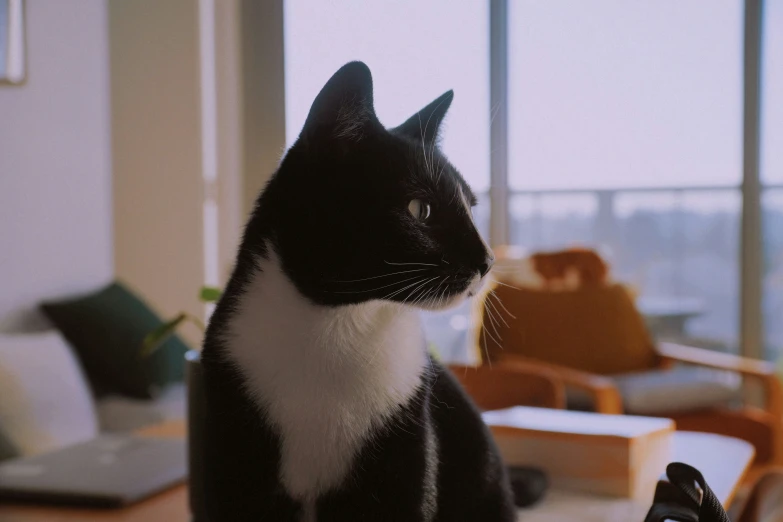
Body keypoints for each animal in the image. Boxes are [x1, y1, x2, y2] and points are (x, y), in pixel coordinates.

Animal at [201, 62, 516, 520]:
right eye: (420, 210)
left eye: (471, 208)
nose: (488, 260)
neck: (336, 328)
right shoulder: (233, 446)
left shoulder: (405, 447)